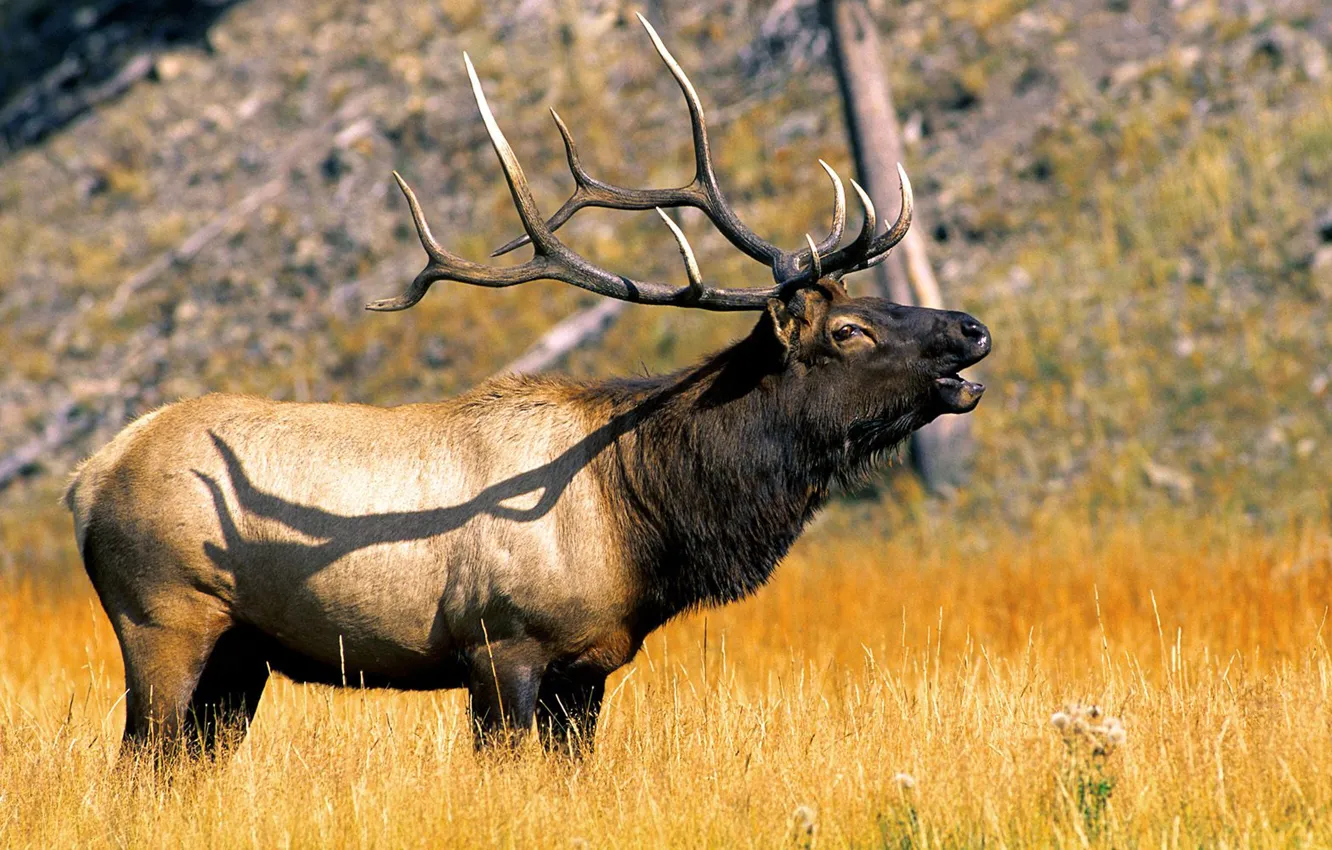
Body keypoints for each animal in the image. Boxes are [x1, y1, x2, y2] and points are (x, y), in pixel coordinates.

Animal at [65, 16, 990, 760]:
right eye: (849, 330)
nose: (972, 329)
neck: (642, 519)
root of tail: (88, 478)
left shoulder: (590, 665)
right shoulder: (500, 643)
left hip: (240, 653)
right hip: (162, 617)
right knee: (139, 760)